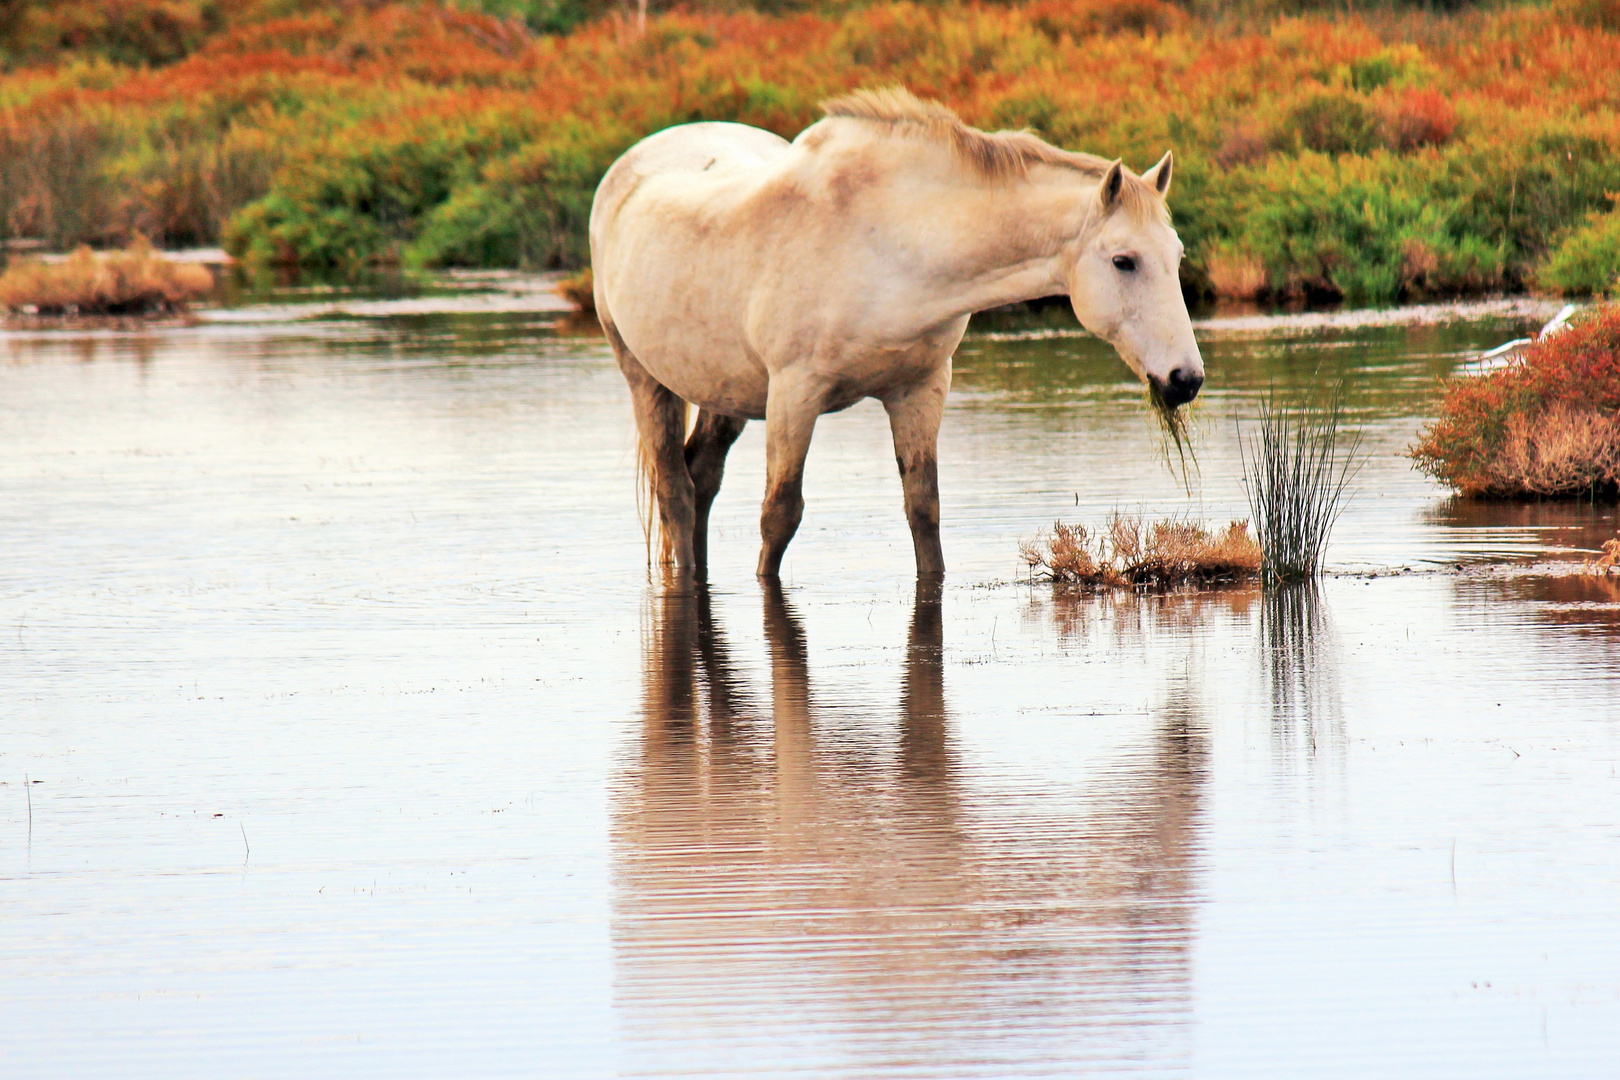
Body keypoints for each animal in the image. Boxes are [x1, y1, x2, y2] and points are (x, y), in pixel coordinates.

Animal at [589, 88, 1198, 579]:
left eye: (1177, 257)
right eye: (1124, 261)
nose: (1185, 378)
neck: (890, 243)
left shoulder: (919, 390)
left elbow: (923, 511)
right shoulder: (794, 394)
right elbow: (780, 515)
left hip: (726, 392)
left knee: (702, 478)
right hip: (645, 378)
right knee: (676, 492)